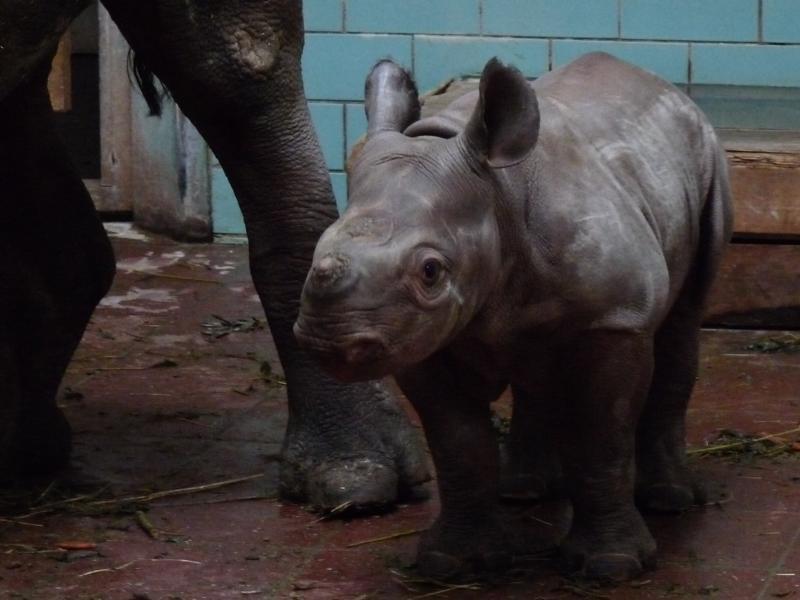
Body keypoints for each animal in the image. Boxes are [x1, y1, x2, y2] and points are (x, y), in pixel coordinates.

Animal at [294, 52, 733, 581]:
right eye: (318, 247)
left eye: (430, 271)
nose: (330, 341)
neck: (497, 194)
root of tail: (665, 89)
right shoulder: (416, 339)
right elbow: (458, 445)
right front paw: (451, 564)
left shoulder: (615, 320)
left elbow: (602, 434)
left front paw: (611, 567)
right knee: (532, 364)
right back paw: (522, 491)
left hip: (706, 160)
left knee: (682, 320)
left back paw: (670, 501)